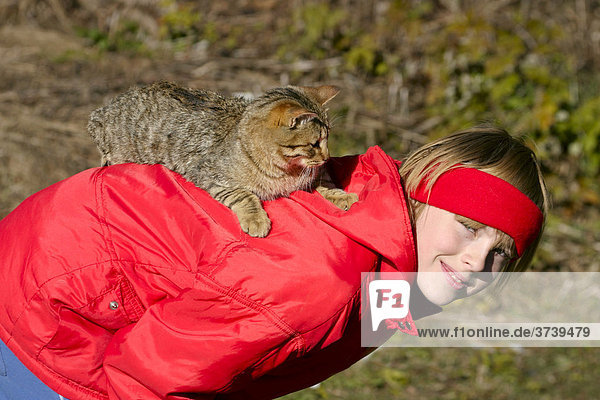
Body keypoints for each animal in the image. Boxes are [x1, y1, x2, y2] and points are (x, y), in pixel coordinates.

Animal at [86, 81, 358, 238]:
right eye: (315, 143)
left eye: (328, 138)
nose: (327, 156)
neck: (286, 171)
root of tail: (102, 111)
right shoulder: (209, 175)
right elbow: (244, 195)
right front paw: (256, 219)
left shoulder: (314, 175)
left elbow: (326, 183)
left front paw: (342, 196)